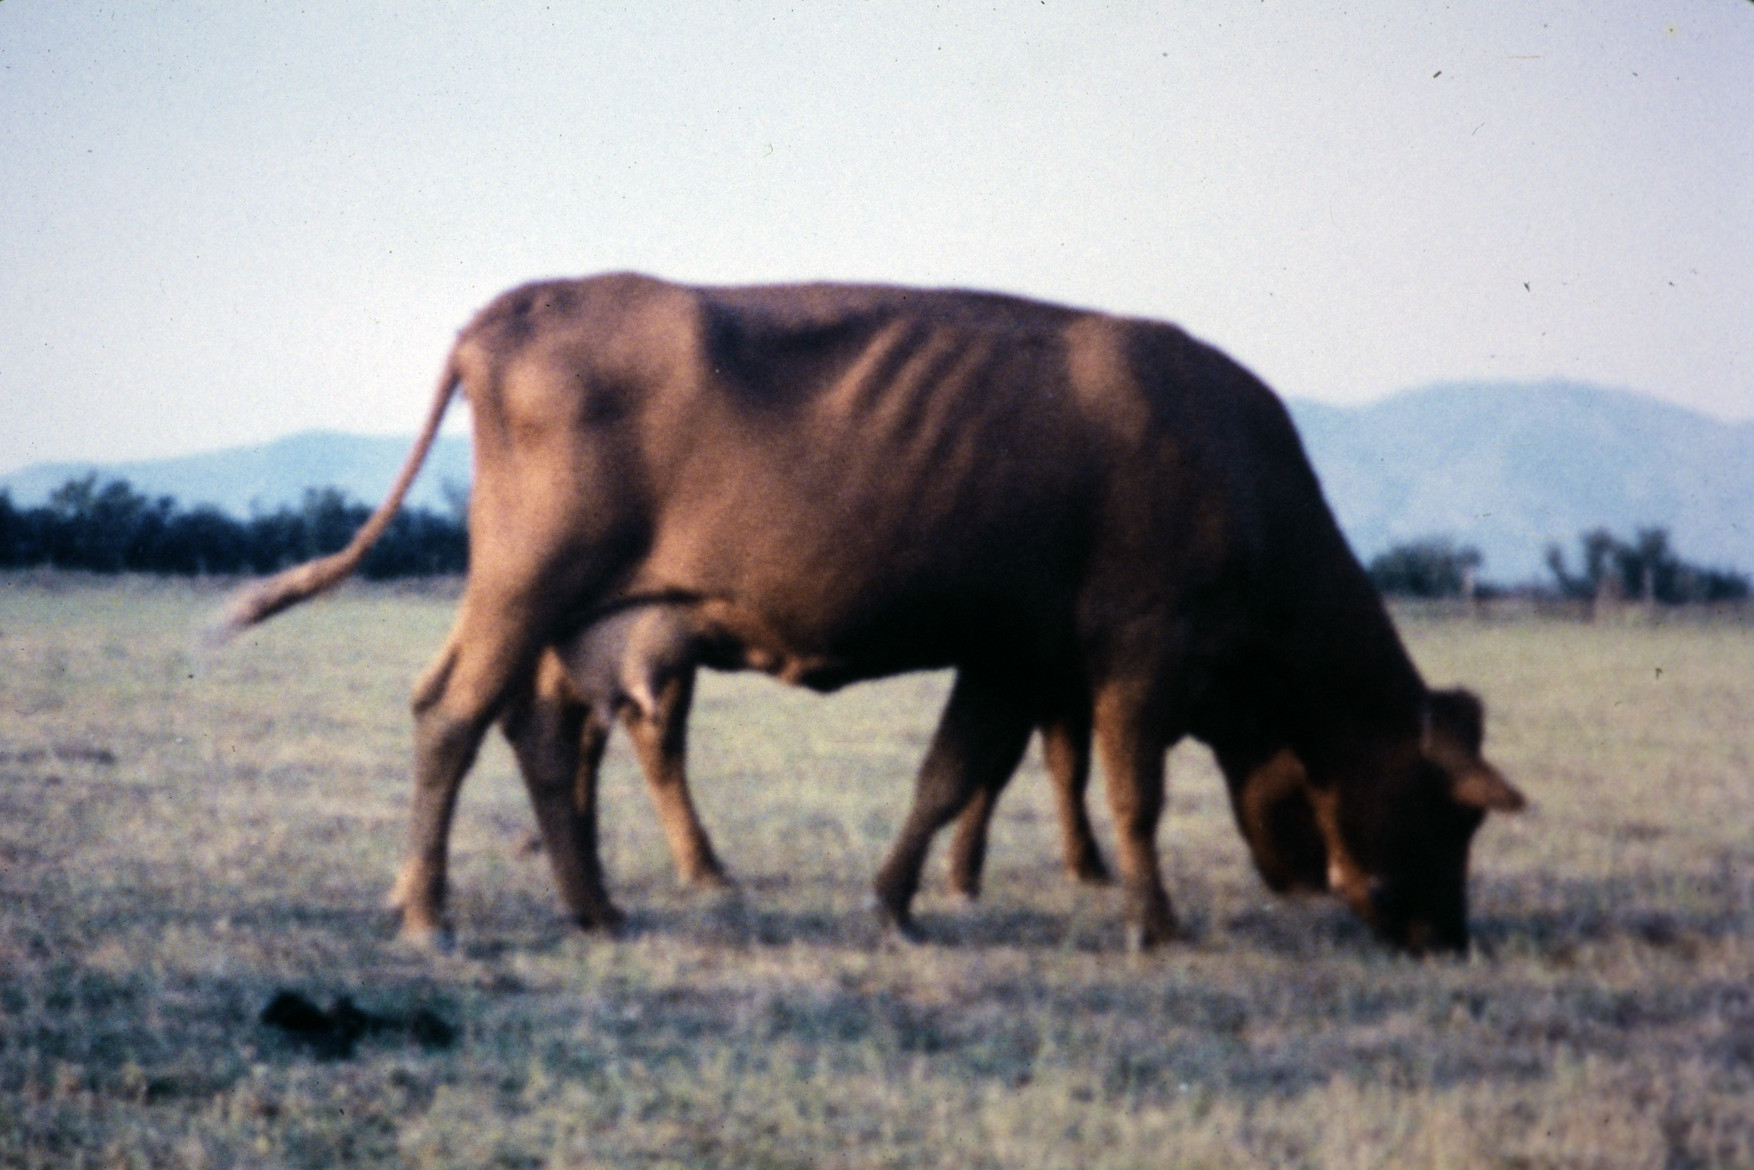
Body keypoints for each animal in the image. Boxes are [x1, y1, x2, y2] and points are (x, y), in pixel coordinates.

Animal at [225, 273, 1523, 953]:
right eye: (1453, 813)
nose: (1445, 941)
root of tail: (522, 305)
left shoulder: (1015, 659)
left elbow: (954, 774)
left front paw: (899, 900)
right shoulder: (1135, 658)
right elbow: (1131, 795)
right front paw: (1152, 923)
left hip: (583, 621)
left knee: (545, 736)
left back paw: (594, 906)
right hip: (523, 588)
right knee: (451, 716)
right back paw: (427, 911)